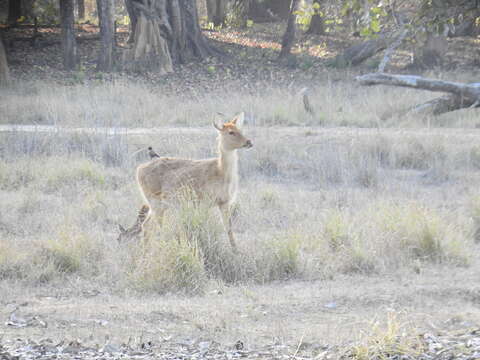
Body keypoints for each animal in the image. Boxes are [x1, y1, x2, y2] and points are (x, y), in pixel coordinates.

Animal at [118, 112, 253, 250]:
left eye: (240, 129)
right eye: (231, 132)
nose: (249, 142)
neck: (220, 171)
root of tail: (139, 169)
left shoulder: (224, 202)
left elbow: (229, 228)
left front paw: (236, 250)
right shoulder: (204, 201)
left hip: (159, 205)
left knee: (147, 226)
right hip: (155, 202)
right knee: (150, 226)